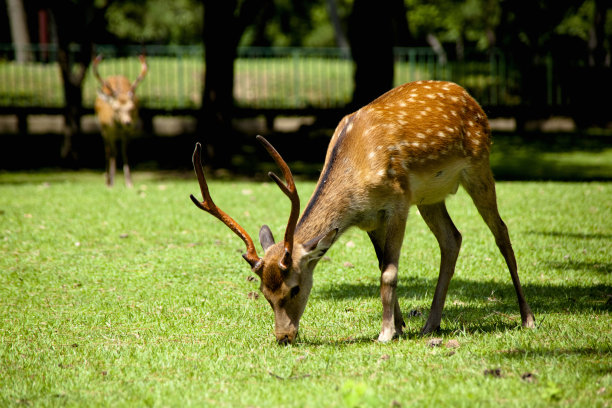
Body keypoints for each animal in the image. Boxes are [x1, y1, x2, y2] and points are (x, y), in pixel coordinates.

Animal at [92, 54, 147, 188]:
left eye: (132, 108)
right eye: (116, 109)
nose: (127, 122)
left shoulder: (128, 132)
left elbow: (124, 151)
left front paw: (129, 182)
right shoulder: (108, 130)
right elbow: (113, 152)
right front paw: (111, 182)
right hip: (103, 131)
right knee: (108, 151)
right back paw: (108, 180)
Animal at [191, 79, 536, 344]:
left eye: (295, 288)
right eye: (264, 292)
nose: (284, 337)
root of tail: (470, 96)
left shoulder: (398, 201)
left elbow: (390, 272)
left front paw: (385, 333)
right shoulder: (370, 220)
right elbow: (382, 265)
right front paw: (399, 326)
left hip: (479, 166)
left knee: (501, 232)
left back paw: (527, 318)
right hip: (430, 197)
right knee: (452, 239)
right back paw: (430, 324)